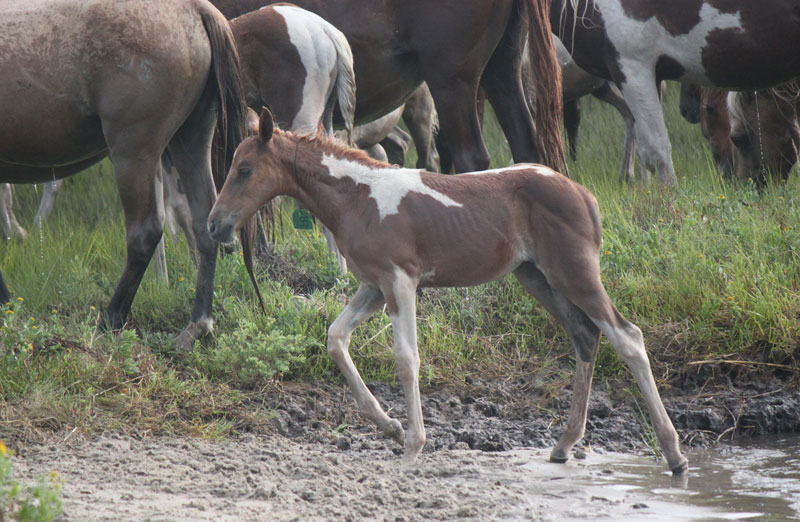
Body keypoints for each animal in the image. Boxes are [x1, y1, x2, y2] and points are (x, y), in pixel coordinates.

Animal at [0, 1, 247, 350]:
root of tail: (194, 8)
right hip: (190, 139)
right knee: (203, 225)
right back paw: (198, 324)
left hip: (134, 154)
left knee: (145, 233)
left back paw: (110, 320)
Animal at [206, 107, 688, 474]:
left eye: (244, 170)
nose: (215, 225)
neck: (357, 197)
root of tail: (584, 195)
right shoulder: (373, 285)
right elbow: (335, 338)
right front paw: (389, 425)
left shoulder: (400, 281)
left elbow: (407, 359)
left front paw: (412, 445)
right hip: (536, 277)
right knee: (585, 336)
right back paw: (565, 444)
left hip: (574, 272)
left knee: (627, 337)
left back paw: (673, 452)